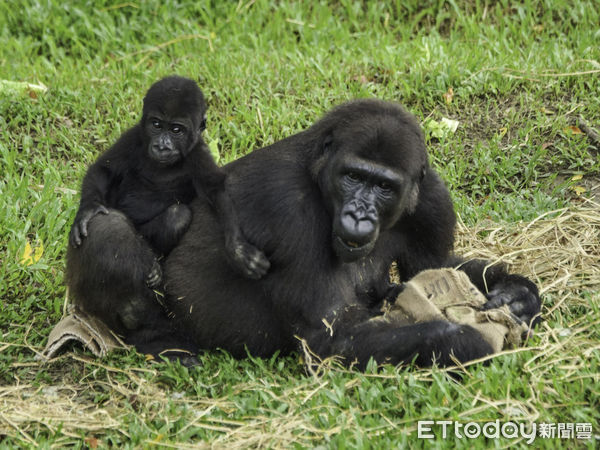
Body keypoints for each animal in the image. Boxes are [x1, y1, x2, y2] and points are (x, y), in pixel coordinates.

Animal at [68, 75, 270, 284]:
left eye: (176, 130)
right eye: (156, 125)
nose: (162, 146)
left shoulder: (198, 153)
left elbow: (215, 190)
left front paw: (237, 248)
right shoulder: (133, 137)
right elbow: (104, 169)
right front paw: (88, 210)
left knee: (177, 217)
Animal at [154, 100, 540, 368]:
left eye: (384, 186)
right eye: (353, 176)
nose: (359, 214)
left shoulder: (431, 196)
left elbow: (433, 267)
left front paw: (518, 293)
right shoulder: (286, 208)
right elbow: (330, 339)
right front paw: (464, 341)